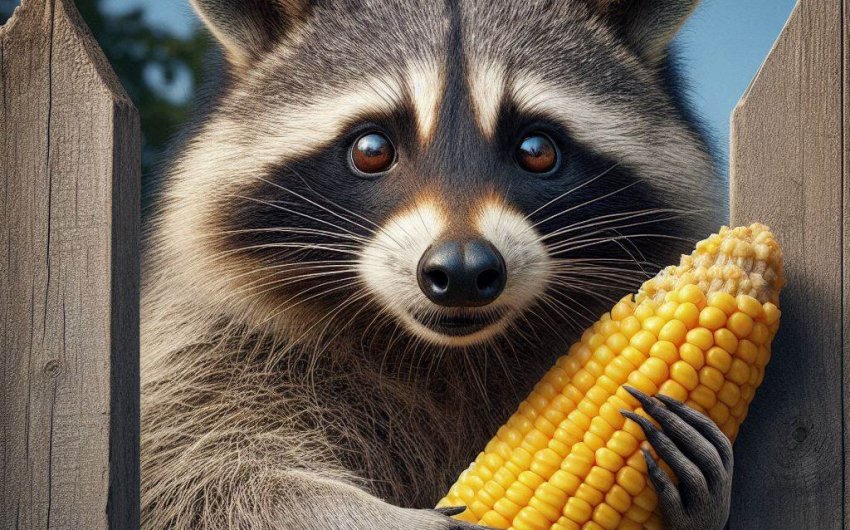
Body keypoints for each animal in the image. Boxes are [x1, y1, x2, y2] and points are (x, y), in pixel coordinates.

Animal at [141, 0, 732, 529]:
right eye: (372, 148)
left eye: (537, 149)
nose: (465, 271)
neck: (449, 354)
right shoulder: (210, 354)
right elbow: (197, 476)